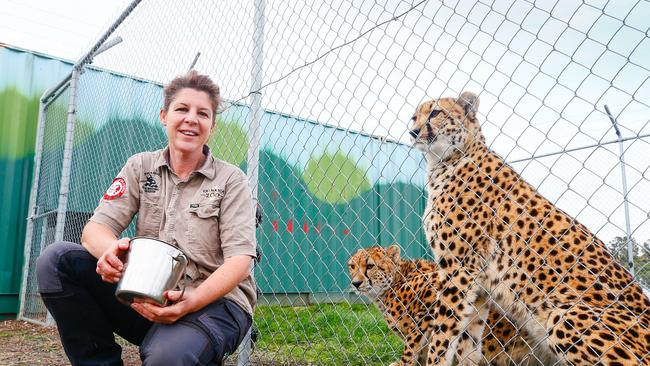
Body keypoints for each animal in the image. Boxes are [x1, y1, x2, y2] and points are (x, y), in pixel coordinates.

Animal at [408, 91, 644, 364]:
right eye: (414, 117)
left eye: (435, 112)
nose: (413, 131)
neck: (448, 159)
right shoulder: (479, 288)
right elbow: (468, 341)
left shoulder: (458, 268)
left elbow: (443, 333)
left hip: (563, 316)